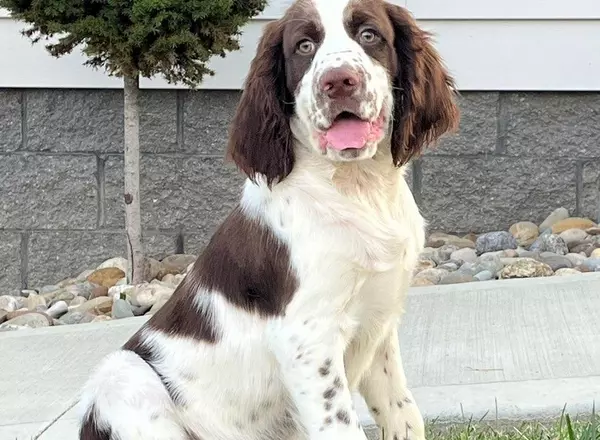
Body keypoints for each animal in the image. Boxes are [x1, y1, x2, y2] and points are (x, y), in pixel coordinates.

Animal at [77, 0, 458, 440]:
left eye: (369, 35)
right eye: (304, 46)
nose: (338, 82)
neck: (357, 187)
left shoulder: (380, 321)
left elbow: (403, 413)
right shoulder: (307, 339)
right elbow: (341, 425)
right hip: (123, 376)